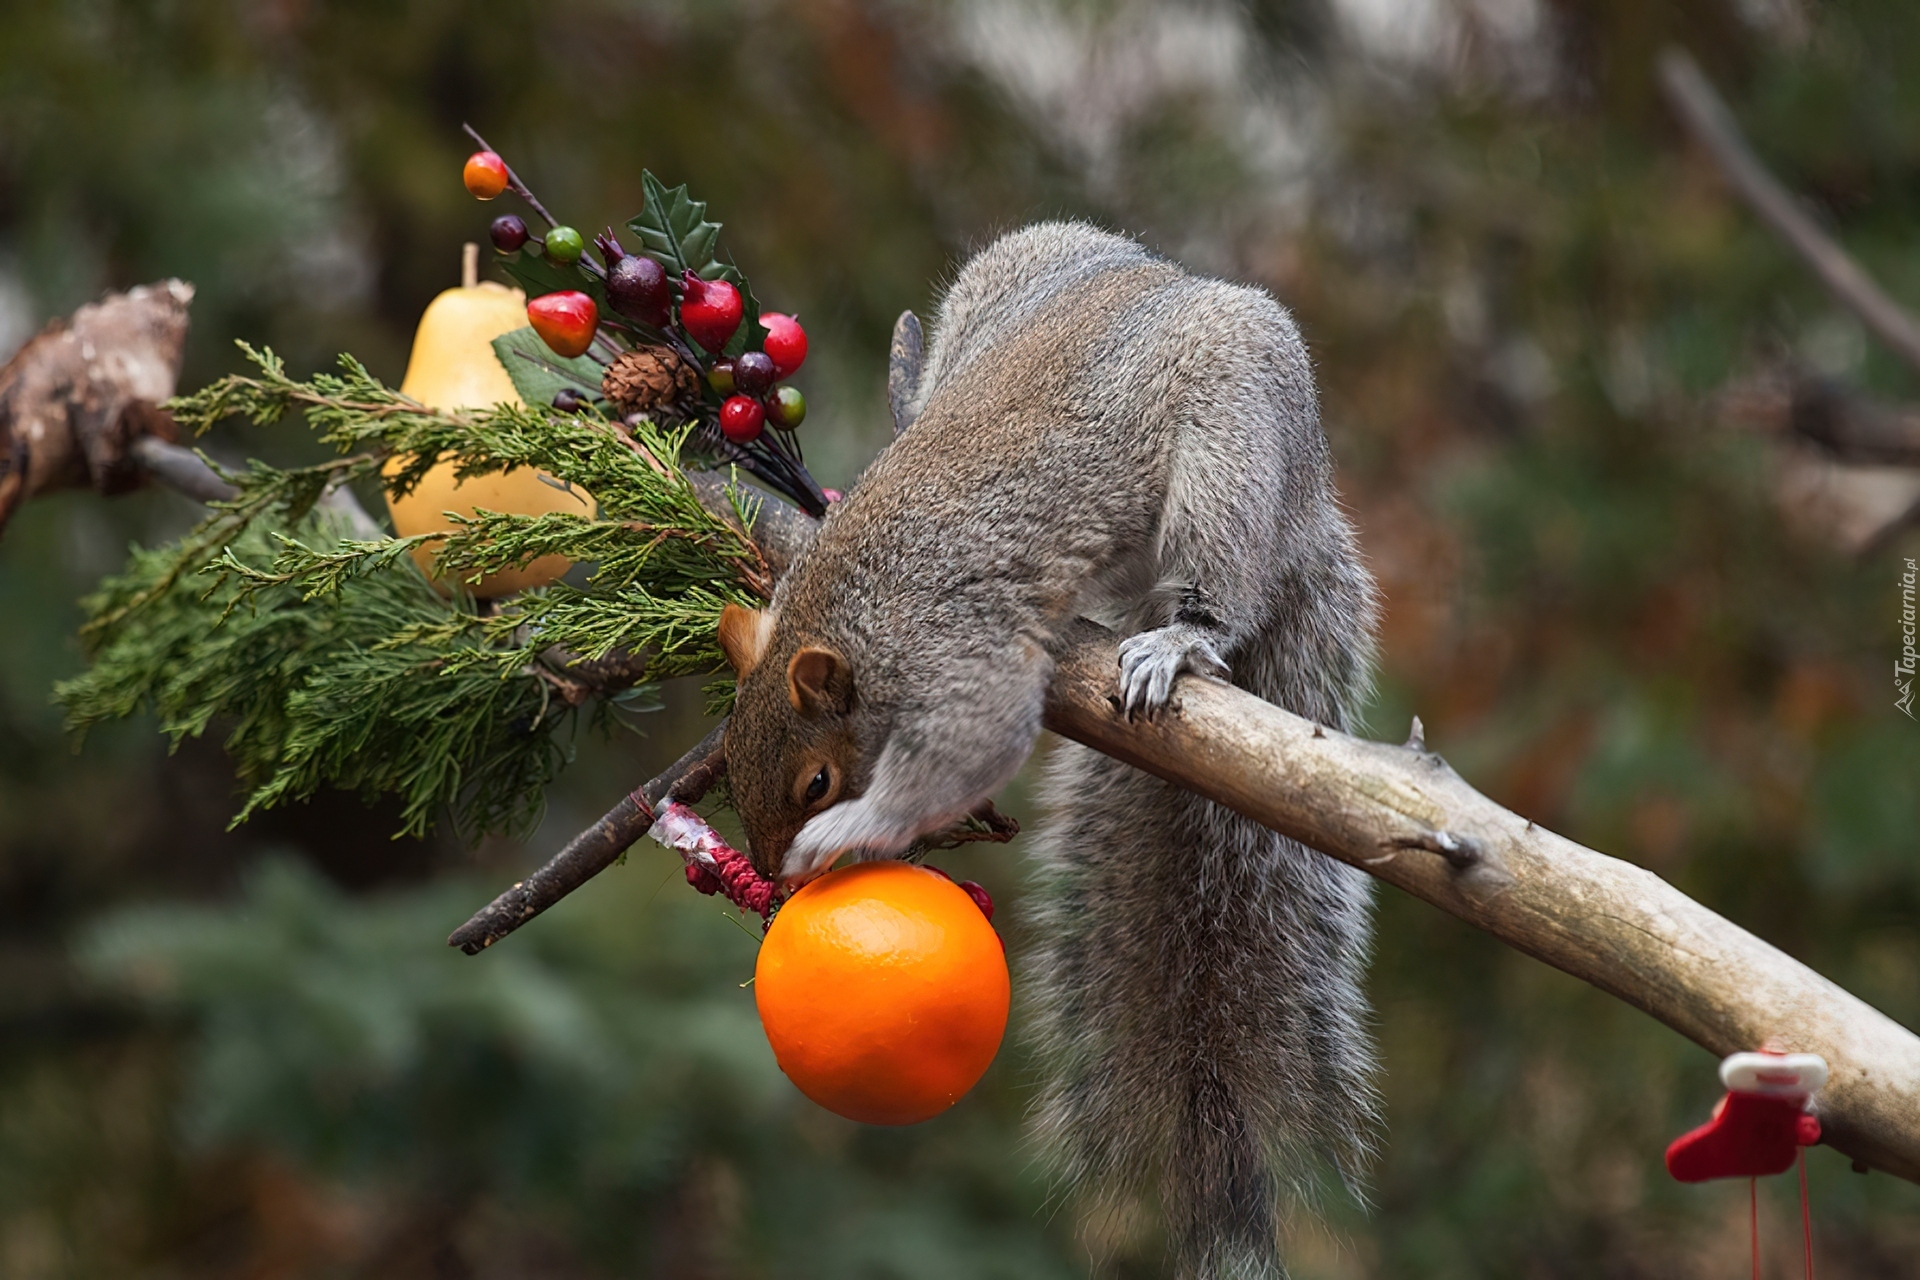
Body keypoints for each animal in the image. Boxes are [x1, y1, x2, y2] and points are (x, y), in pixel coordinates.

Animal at [721, 222, 1382, 1280]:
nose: (775, 876)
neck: (840, 607)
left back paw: (1179, 638)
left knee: (1221, 580)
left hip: (1235, 442)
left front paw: (855, 830)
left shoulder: (953, 646)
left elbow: (972, 740)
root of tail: (1310, 499)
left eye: (815, 781)